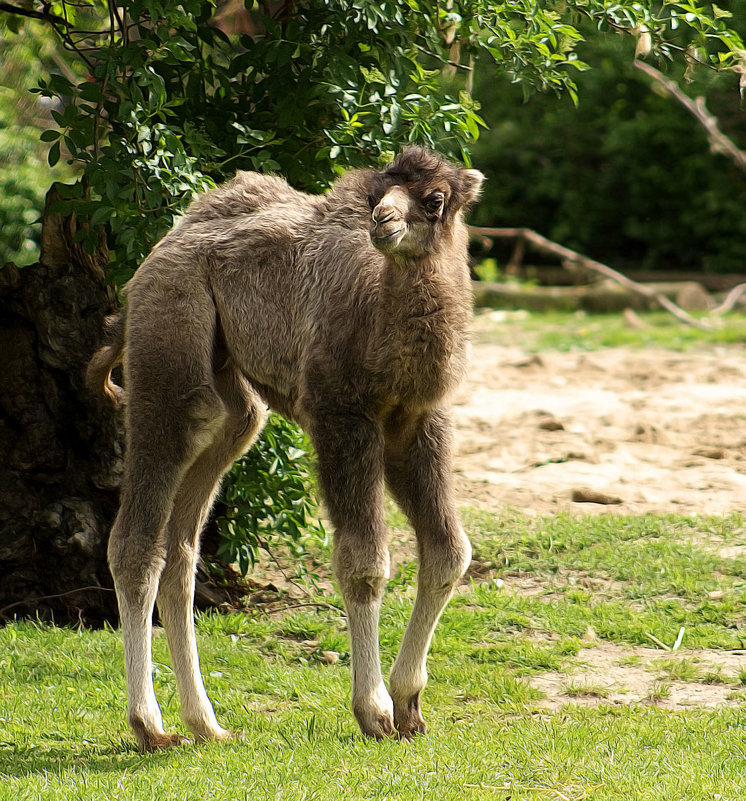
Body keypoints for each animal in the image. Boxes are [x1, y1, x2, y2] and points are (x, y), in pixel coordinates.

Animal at [88, 148, 482, 752]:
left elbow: (448, 553)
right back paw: (150, 726)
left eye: (435, 198)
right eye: (376, 196)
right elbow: (364, 562)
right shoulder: (341, 413)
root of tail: (152, 260)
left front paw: (410, 704)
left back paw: (206, 724)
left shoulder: (418, 421)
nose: (382, 223)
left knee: (183, 547)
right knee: (137, 540)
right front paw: (374, 711)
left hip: (233, 406)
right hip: (171, 340)